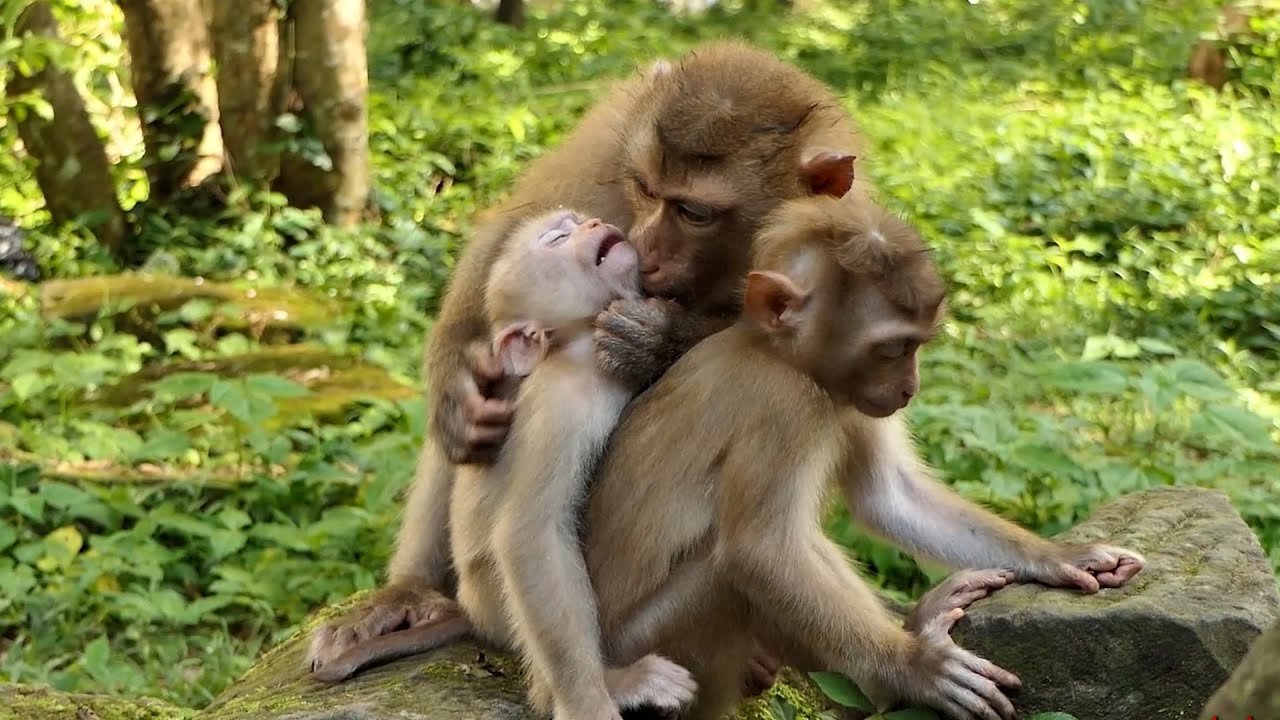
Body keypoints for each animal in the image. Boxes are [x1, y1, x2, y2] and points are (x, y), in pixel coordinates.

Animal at [316, 208, 698, 718]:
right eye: (557, 237)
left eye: (577, 221)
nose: (593, 222)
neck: (577, 345)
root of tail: (469, 607)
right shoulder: (567, 403)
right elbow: (529, 537)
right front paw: (588, 702)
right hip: (496, 606)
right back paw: (602, 684)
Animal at [577, 193, 1145, 720]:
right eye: (893, 349)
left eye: (917, 346)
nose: (911, 388)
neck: (781, 356)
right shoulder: (786, 407)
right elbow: (761, 551)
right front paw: (914, 667)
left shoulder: (853, 402)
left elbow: (890, 497)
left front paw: (1063, 556)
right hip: (652, 645)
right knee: (729, 580)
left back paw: (920, 621)